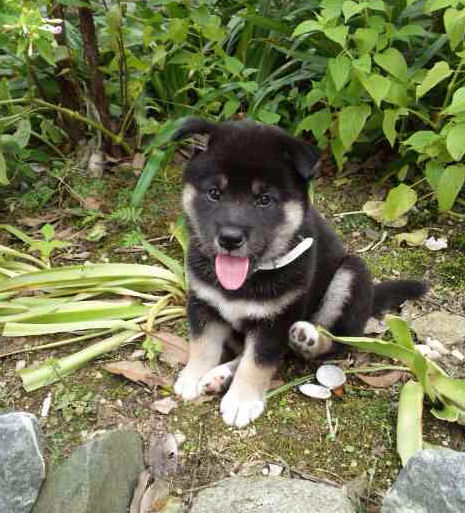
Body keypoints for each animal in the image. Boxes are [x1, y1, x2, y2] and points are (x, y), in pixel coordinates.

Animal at [172, 118, 427, 428]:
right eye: (214, 194)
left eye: (264, 200)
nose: (230, 239)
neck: (247, 279)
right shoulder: (203, 301)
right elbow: (203, 344)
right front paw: (194, 375)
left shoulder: (277, 319)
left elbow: (258, 361)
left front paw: (242, 400)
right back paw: (219, 376)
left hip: (350, 275)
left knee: (336, 341)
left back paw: (307, 338)